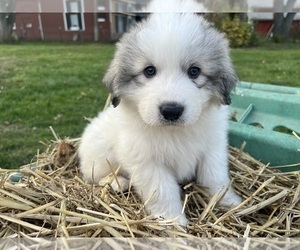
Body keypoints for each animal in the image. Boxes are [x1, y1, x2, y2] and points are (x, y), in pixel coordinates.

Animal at [79, 0, 241, 226]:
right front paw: (172, 220)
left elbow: (215, 176)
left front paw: (229, 201)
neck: (173, 132)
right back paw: (116, 182)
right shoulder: (147, 161)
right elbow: (163, 189)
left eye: (194, 71)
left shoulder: (213, 148)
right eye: (149, 71)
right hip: (98, 154)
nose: (171, 110)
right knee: (95, 175)